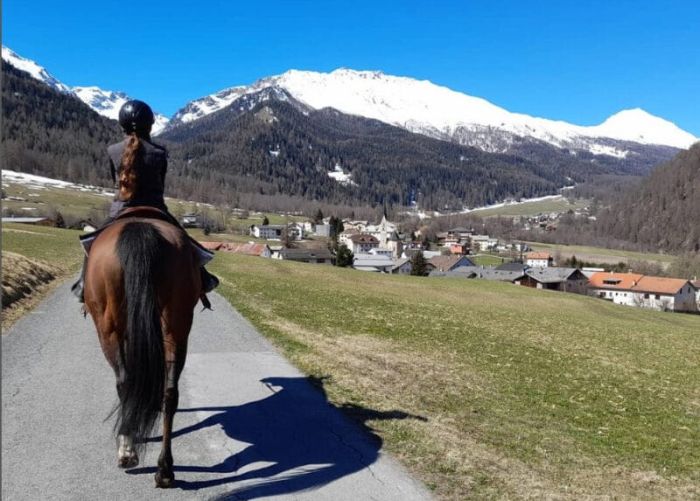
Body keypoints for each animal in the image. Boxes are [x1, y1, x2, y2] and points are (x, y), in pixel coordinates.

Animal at [83, 209, 202, 486]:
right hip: (176, 326)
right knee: (170, 392)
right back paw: (165, 469)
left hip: (108, 329)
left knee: (125, 382)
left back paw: (127, 450)